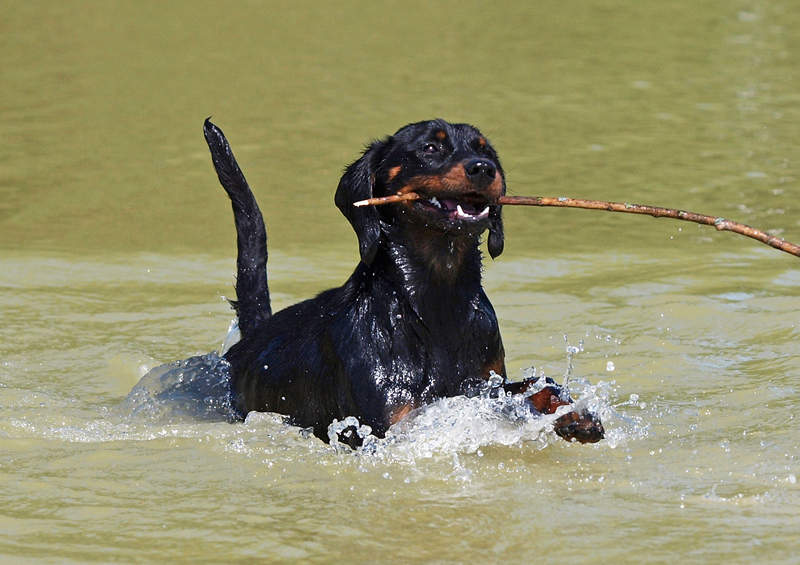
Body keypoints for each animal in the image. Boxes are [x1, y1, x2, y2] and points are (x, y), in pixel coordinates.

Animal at [203, 118, 604, 446]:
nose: (483, 168)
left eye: (485, 150)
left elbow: (538, 383)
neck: (439, 300)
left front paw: (576, 414)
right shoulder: (388, 423)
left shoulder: (484, 381)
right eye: (430, 147)